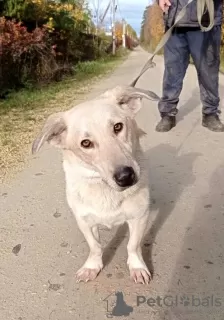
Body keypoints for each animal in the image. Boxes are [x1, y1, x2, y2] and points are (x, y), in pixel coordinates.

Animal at [32, 85, 160, 284]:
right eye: (86, 143)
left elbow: (133, 245)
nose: (126, 176)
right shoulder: (84, 220)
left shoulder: (139, 216)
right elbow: (95, 246)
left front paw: (137, 266)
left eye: (118, 126)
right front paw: (92, 266)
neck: (105, 188)